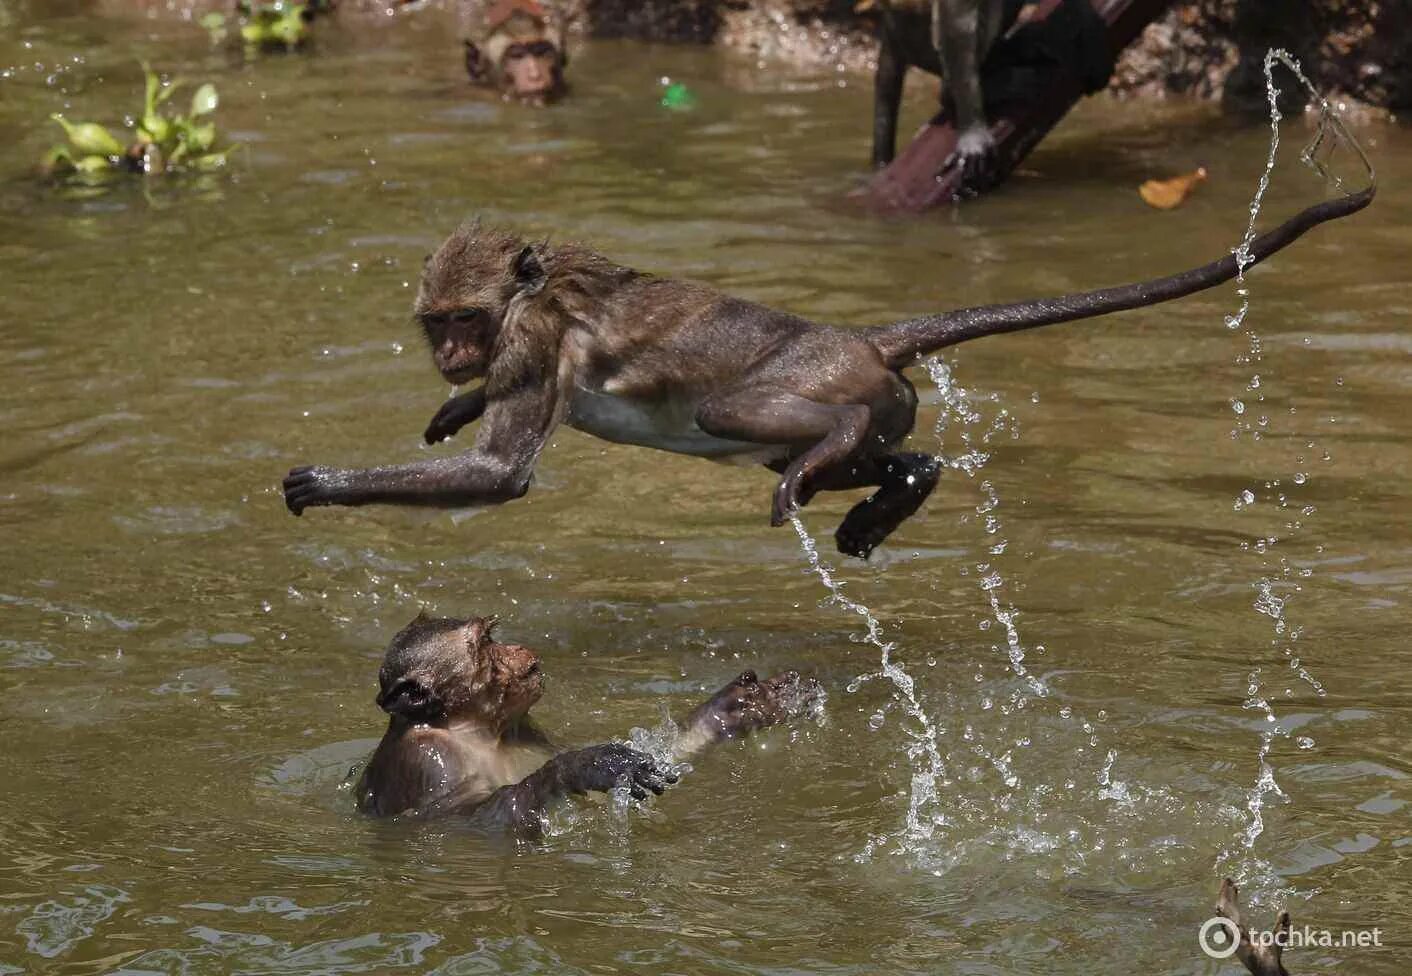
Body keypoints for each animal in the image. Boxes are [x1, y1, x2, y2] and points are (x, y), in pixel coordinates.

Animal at [353, 615, 824, 830]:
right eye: (486, 643)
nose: (516, 647)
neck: (480, 730)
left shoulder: (531, 728)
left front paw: (739, 707)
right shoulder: (428, 758)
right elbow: (458, 821)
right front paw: (588, 765)